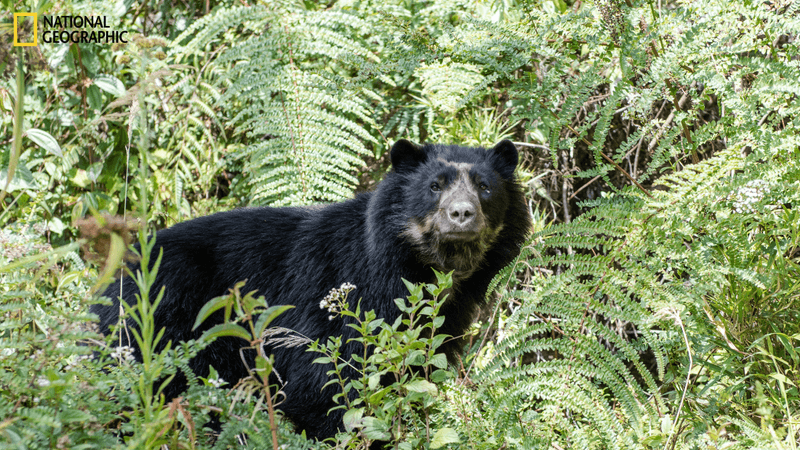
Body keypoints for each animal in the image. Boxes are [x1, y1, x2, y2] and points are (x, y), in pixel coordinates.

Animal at [92, 139, 531, 441]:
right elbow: (324, 386)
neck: (423, 269)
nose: (462, 214)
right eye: (435, 186)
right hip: (163, 327)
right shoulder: (344, 301)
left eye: (485, 188)